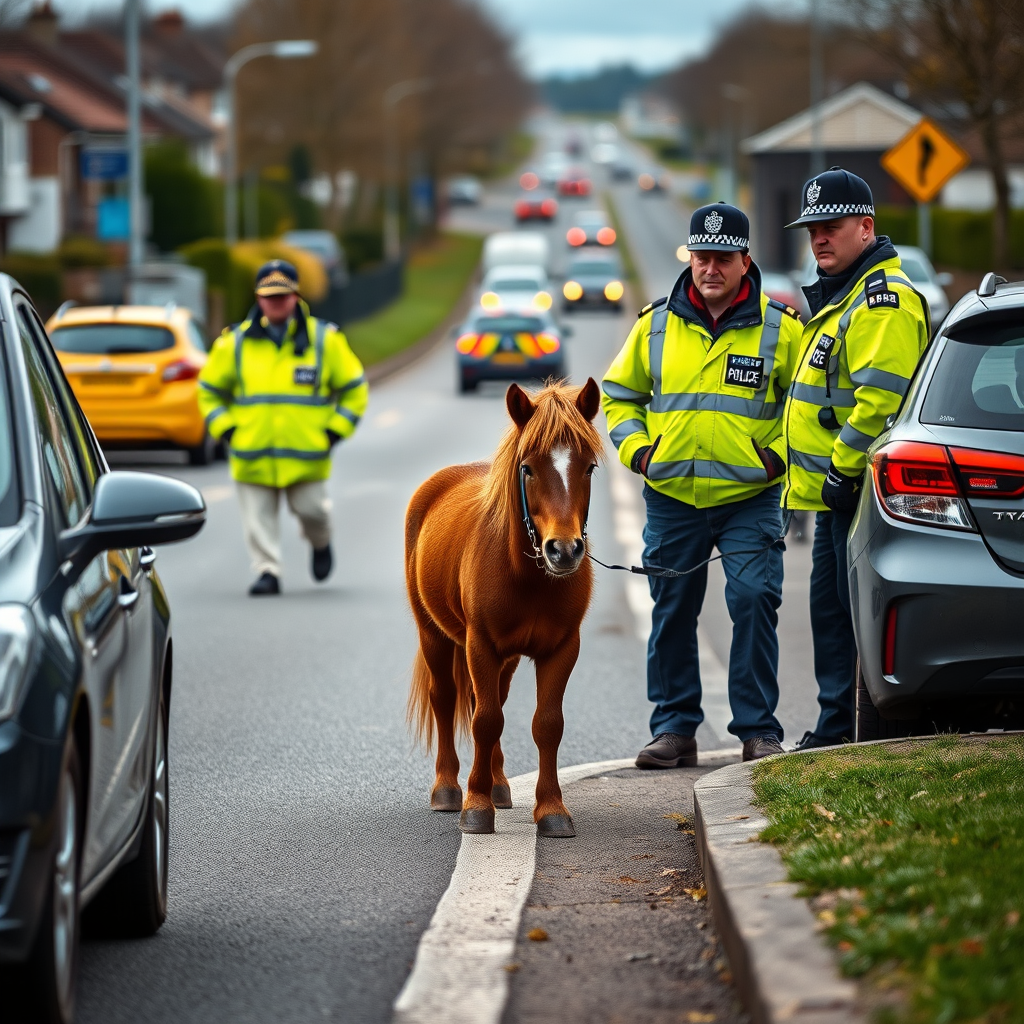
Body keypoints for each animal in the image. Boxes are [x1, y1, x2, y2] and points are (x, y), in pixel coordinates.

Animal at [405, 378, 603, 837]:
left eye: (588, 468)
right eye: (527, 468)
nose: (564, 550)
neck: (527, 574)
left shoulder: (562, 649)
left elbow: (546, 724)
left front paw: (551, 809)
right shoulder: (479, 644)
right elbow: (485, 720)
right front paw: (475, 807)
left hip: (506, 658)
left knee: (492, 698)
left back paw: (497, 785)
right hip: (433, 634)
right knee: (447, 698)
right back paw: (448, 789)